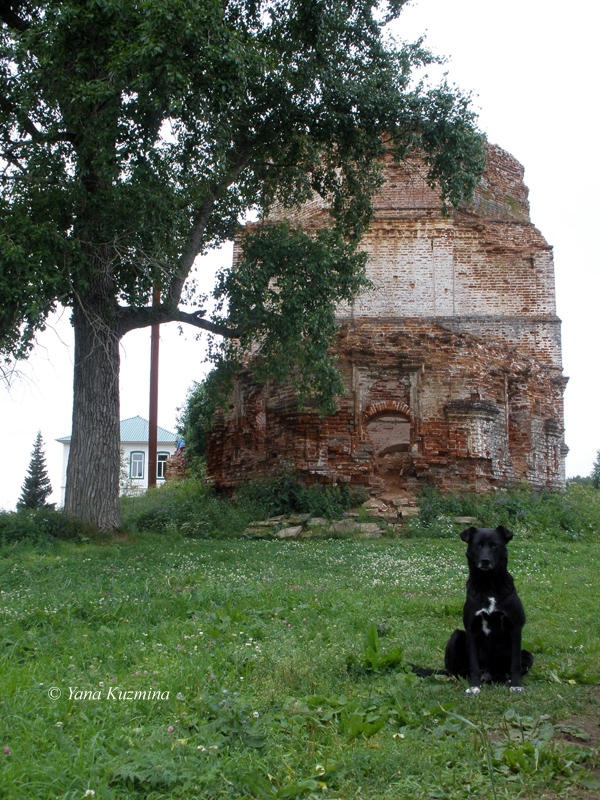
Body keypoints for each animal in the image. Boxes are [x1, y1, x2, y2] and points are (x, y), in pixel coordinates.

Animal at [446, 524, 536, 692]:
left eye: (495, 545)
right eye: (478, 545)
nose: (485, 560)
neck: (488, 586)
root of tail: (489, 676)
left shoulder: (515, 627)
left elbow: (515, 664)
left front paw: (516, 685)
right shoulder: (471, 629)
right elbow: (474, 664)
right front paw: (474, 687)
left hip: (527, 655)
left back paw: (507, 680)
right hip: (455, 637)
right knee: (455, 672)